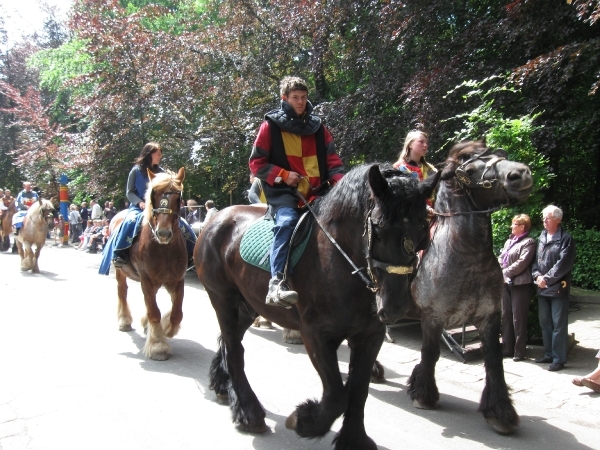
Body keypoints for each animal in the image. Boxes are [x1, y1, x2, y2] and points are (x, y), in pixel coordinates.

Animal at [110, 167, 188, 360]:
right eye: (154, 195)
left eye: (178, 198)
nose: (163, 233)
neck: (163, 249)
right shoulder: (146, 279)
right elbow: (154, 312)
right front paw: (158, 345)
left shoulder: (177, 280)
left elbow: (177, 313)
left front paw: (166, 328)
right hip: (121, 272)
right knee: (122, 292)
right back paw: (124, 321)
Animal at [195, 164, 438, 450]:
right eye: (378, 230)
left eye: (423, 232)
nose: (396, 306)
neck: (339, 260)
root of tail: (215, 220)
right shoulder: (316, 335)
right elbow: (336, 396)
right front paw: (304, 421)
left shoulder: (370, 336)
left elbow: (358, 390)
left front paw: (354, 438)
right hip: (224, 299)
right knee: (234, 350)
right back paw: (248, 412)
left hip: (248, 306)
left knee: (227, 342)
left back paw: (223, 386)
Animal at [410, 142, 532, 436]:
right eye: (472, 169)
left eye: (501, 156)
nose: (521, 173)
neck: (466, 255)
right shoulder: (431, 318)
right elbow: (429, 354)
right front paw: (423, 395)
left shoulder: (490, 318)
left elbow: (494, 360)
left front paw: (499, 412)